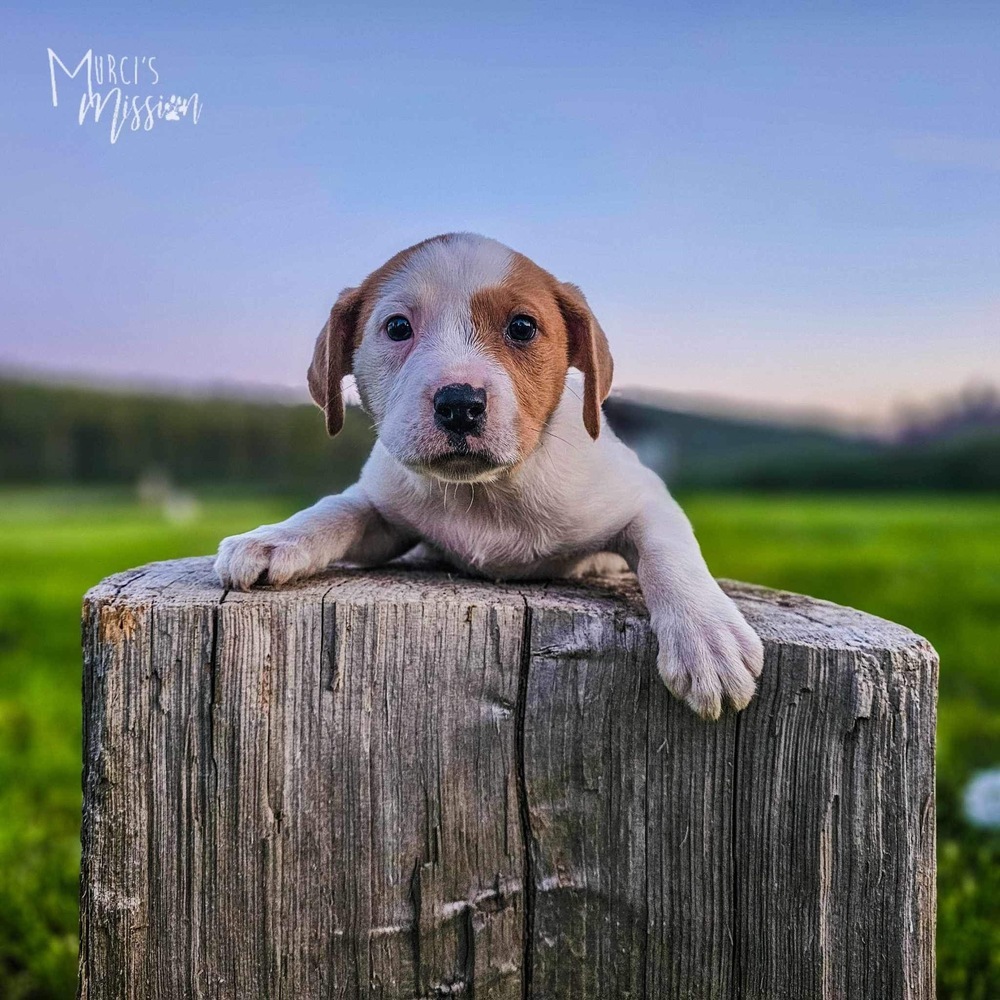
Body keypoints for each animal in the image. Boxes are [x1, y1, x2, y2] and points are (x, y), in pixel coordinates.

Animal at [215, 234, 760, 720]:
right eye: (397, 327)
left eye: (522, 327)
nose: (460, 403)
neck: (486, 492)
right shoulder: (384, 512)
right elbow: (339, 508)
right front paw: (275, 538)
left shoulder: (645, 495)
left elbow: (668, 551)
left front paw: (706, 635)